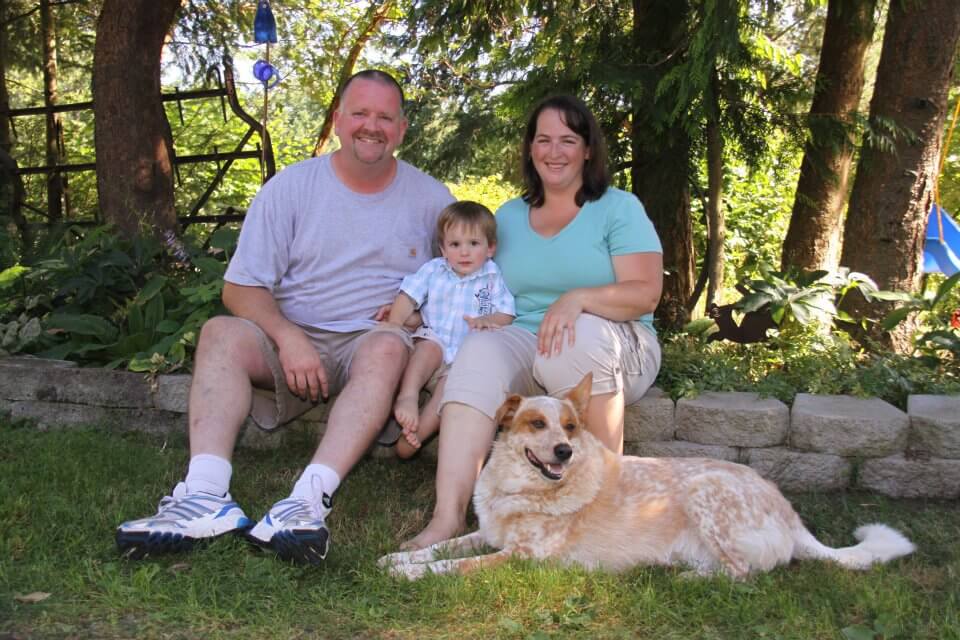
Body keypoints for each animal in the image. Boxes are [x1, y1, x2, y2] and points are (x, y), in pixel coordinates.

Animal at [380, 372, 916, 584]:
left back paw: (684, 579)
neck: (522, 488)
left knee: (742, 573)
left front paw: (406, 574)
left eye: (570, 426)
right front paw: (397, 555)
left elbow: (450, 567)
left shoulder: (522, 556)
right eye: (536, 423)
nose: (564, 450)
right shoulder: (488, 533)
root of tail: (791, 515)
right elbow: (441, 548)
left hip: (706, 493)